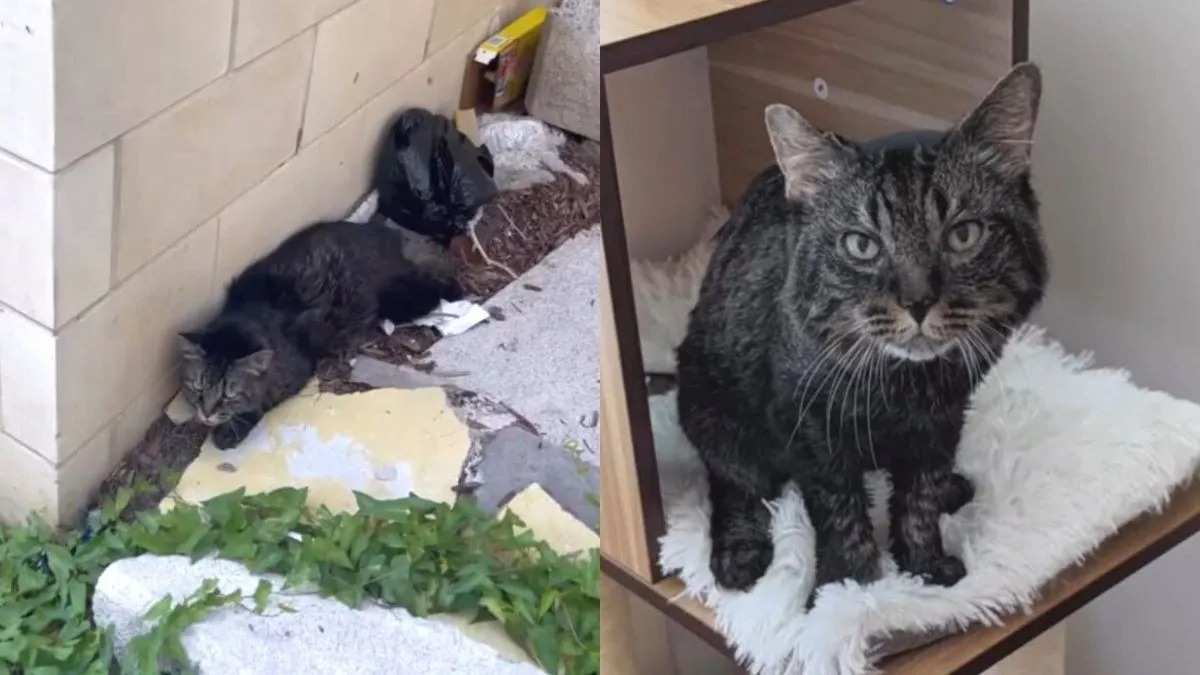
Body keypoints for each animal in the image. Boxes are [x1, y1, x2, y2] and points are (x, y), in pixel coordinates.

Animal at [178, 220, 463, 449]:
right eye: (198, 387)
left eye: (229, 395)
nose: (206, 413)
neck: (251, 311)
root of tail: (385, 234)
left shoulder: (295, 371)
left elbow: (260, 403)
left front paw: (231, 429)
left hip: (401, 296)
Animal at [681, 64, 1046, 598]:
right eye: (862, 245)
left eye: (963, 235)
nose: (918, 301)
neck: (902, 386)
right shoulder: (811, 427)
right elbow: (840, 511)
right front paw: (849, 589)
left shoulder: (945, 416)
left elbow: (918, 496)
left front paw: (922, 564)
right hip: (710, 405)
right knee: (735, 484)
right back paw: (739, 552)